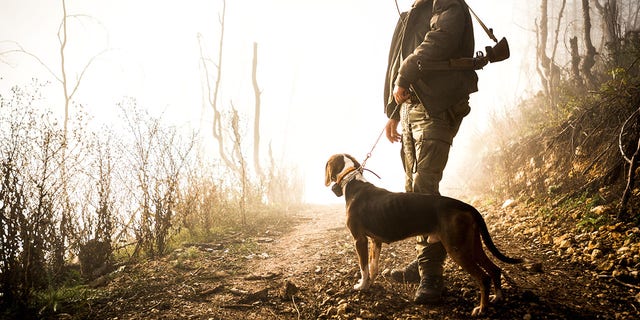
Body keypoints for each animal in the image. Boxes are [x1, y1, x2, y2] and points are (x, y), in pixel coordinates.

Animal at [322, 154, 524, 316]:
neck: (353, 182)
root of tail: (465, 206)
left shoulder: (360, 240)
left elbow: (363, 267)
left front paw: (362, 287)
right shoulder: (375, 241)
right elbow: (373, 267)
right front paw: (370, 282)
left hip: (458, 249)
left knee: (484, 278)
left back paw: (482, 309)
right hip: (472, 245)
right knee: (495, 270)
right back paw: (497, 298)